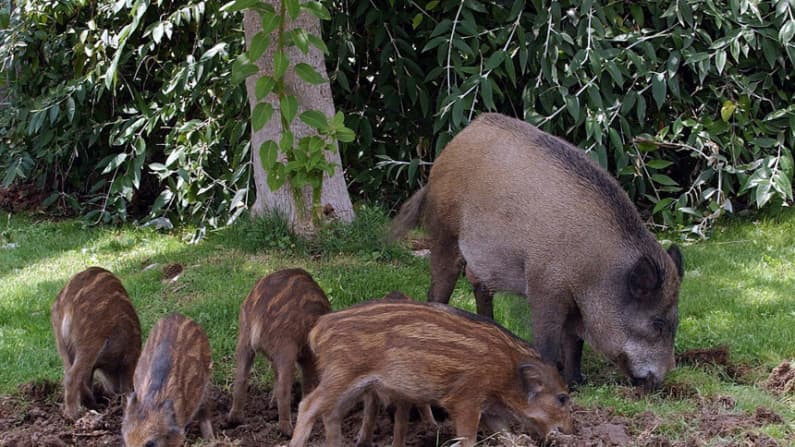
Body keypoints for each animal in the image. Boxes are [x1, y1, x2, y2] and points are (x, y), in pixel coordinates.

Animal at [51, 266, 142, 420]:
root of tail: (67, 303)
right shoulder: (130, 356)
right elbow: (127, 386)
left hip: (61, 344)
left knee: (71, 373)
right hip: (91, 338)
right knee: (72, 376)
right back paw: (74, 415)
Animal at [228, 268, 331, 437]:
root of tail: (258, 312)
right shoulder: (306, 355)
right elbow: (306, 381)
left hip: (244, 339)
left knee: (241, 378)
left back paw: (235, 420)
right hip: (285, 346)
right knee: (284, 386)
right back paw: (287, 430)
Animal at [289, 300, 573, 447]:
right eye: (562, 398)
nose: (569, 430)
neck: (507, 372)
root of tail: (319, 328)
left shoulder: (489, 409)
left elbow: (503, 432)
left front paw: (520, 440)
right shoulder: (466, 398)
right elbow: (468, 437)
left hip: (353, 384)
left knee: (331, 413)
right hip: (343, 373)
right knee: (309, 404)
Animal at [390, 113, 684, 388]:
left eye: (676, 322)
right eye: (657, 323)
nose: (663, 378)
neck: (595, 271)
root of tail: (452, 145)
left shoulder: (575, 303)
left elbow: (574, 342)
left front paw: (576, 381)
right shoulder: (545, 286)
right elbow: (548, 341)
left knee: (480, 288)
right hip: (444, 233)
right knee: (439, 289)